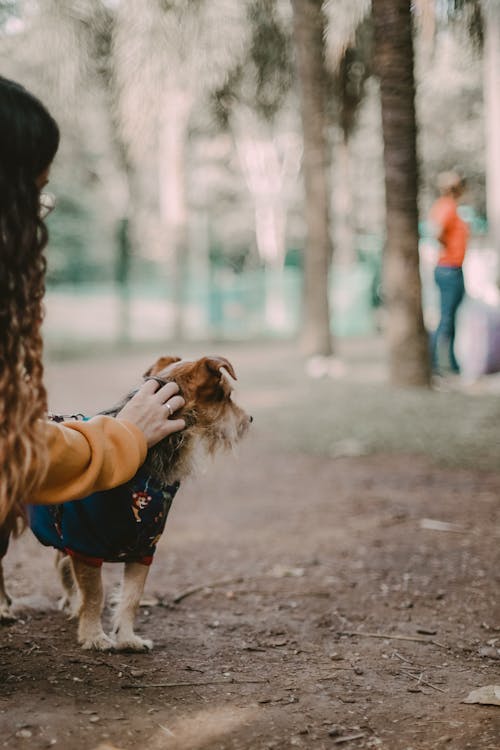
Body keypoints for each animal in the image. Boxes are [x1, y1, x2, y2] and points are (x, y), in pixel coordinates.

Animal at [0, 356, 252, 652]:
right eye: (226, 396)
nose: (249, 419)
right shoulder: (84, 544)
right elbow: (95, 594)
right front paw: (94, 636)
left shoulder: (144, 547)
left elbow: (132, 596)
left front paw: (128, 638)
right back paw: (5, 609)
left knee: (61, 565)